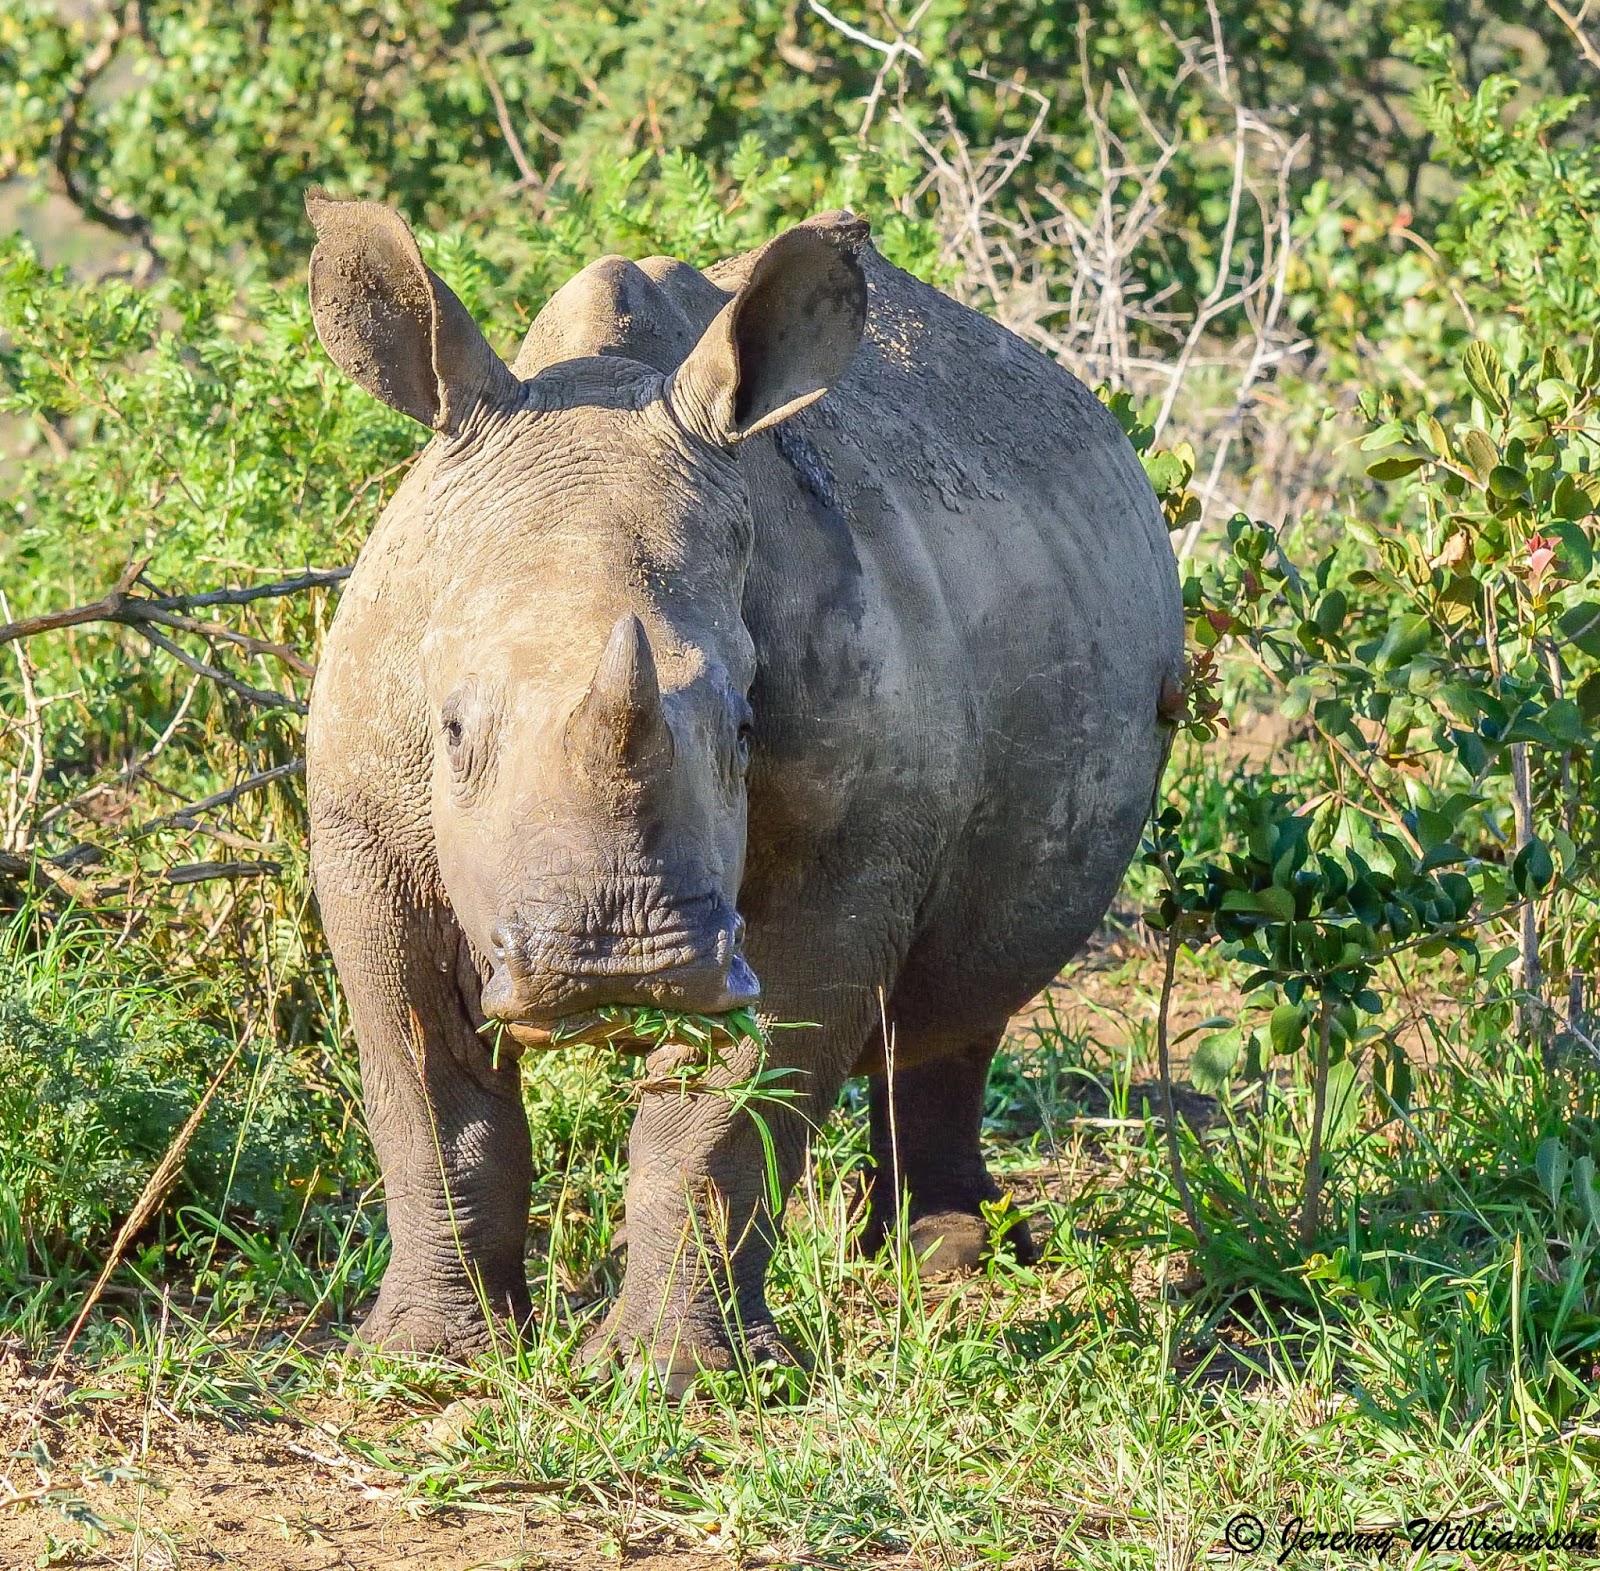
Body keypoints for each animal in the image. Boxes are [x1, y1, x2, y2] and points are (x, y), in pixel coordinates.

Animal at [304, 192, 1183, 1389]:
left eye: (744, 725)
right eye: (450, 729)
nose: (616, 959)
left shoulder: (844, 854)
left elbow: (722, 1120)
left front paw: (675, 1379)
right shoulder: (367, 831)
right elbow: (427, 1095)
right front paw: (426, 1357)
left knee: (970, 984)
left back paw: (948, 1258)